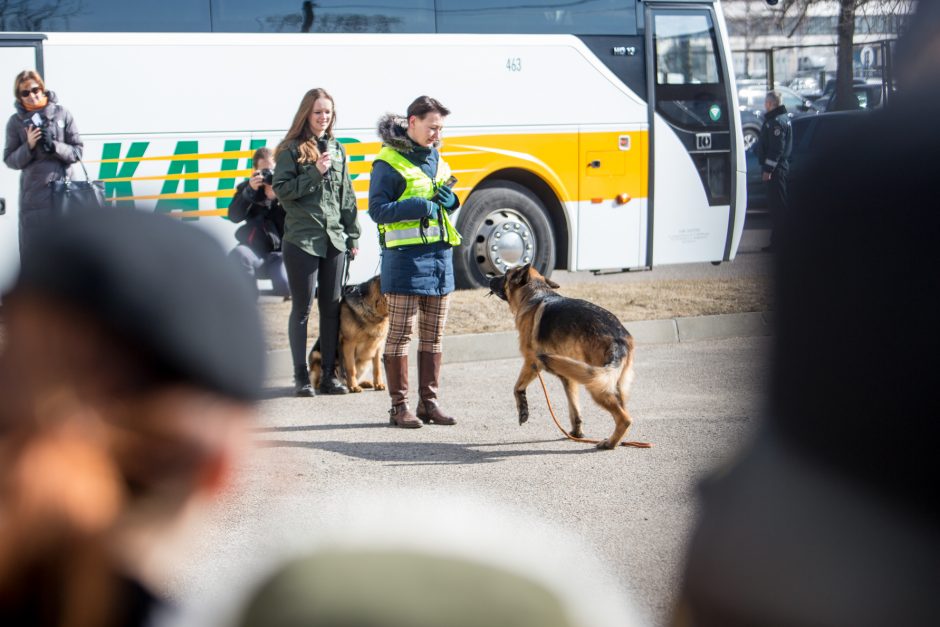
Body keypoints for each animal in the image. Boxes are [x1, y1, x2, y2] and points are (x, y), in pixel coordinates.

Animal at [488, 264, 636, 452]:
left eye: (506, 274)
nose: (489, 278)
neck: (536, 293)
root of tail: (619, 338)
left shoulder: (531, 363)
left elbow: (517, 388)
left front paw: (523, 410)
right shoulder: (568, 377)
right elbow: (574, 409)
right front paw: (576, 433)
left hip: (596, 385)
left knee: (625, 418)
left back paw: (609, 443)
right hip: (612, 384)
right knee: (623, 412)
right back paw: (616, 440)